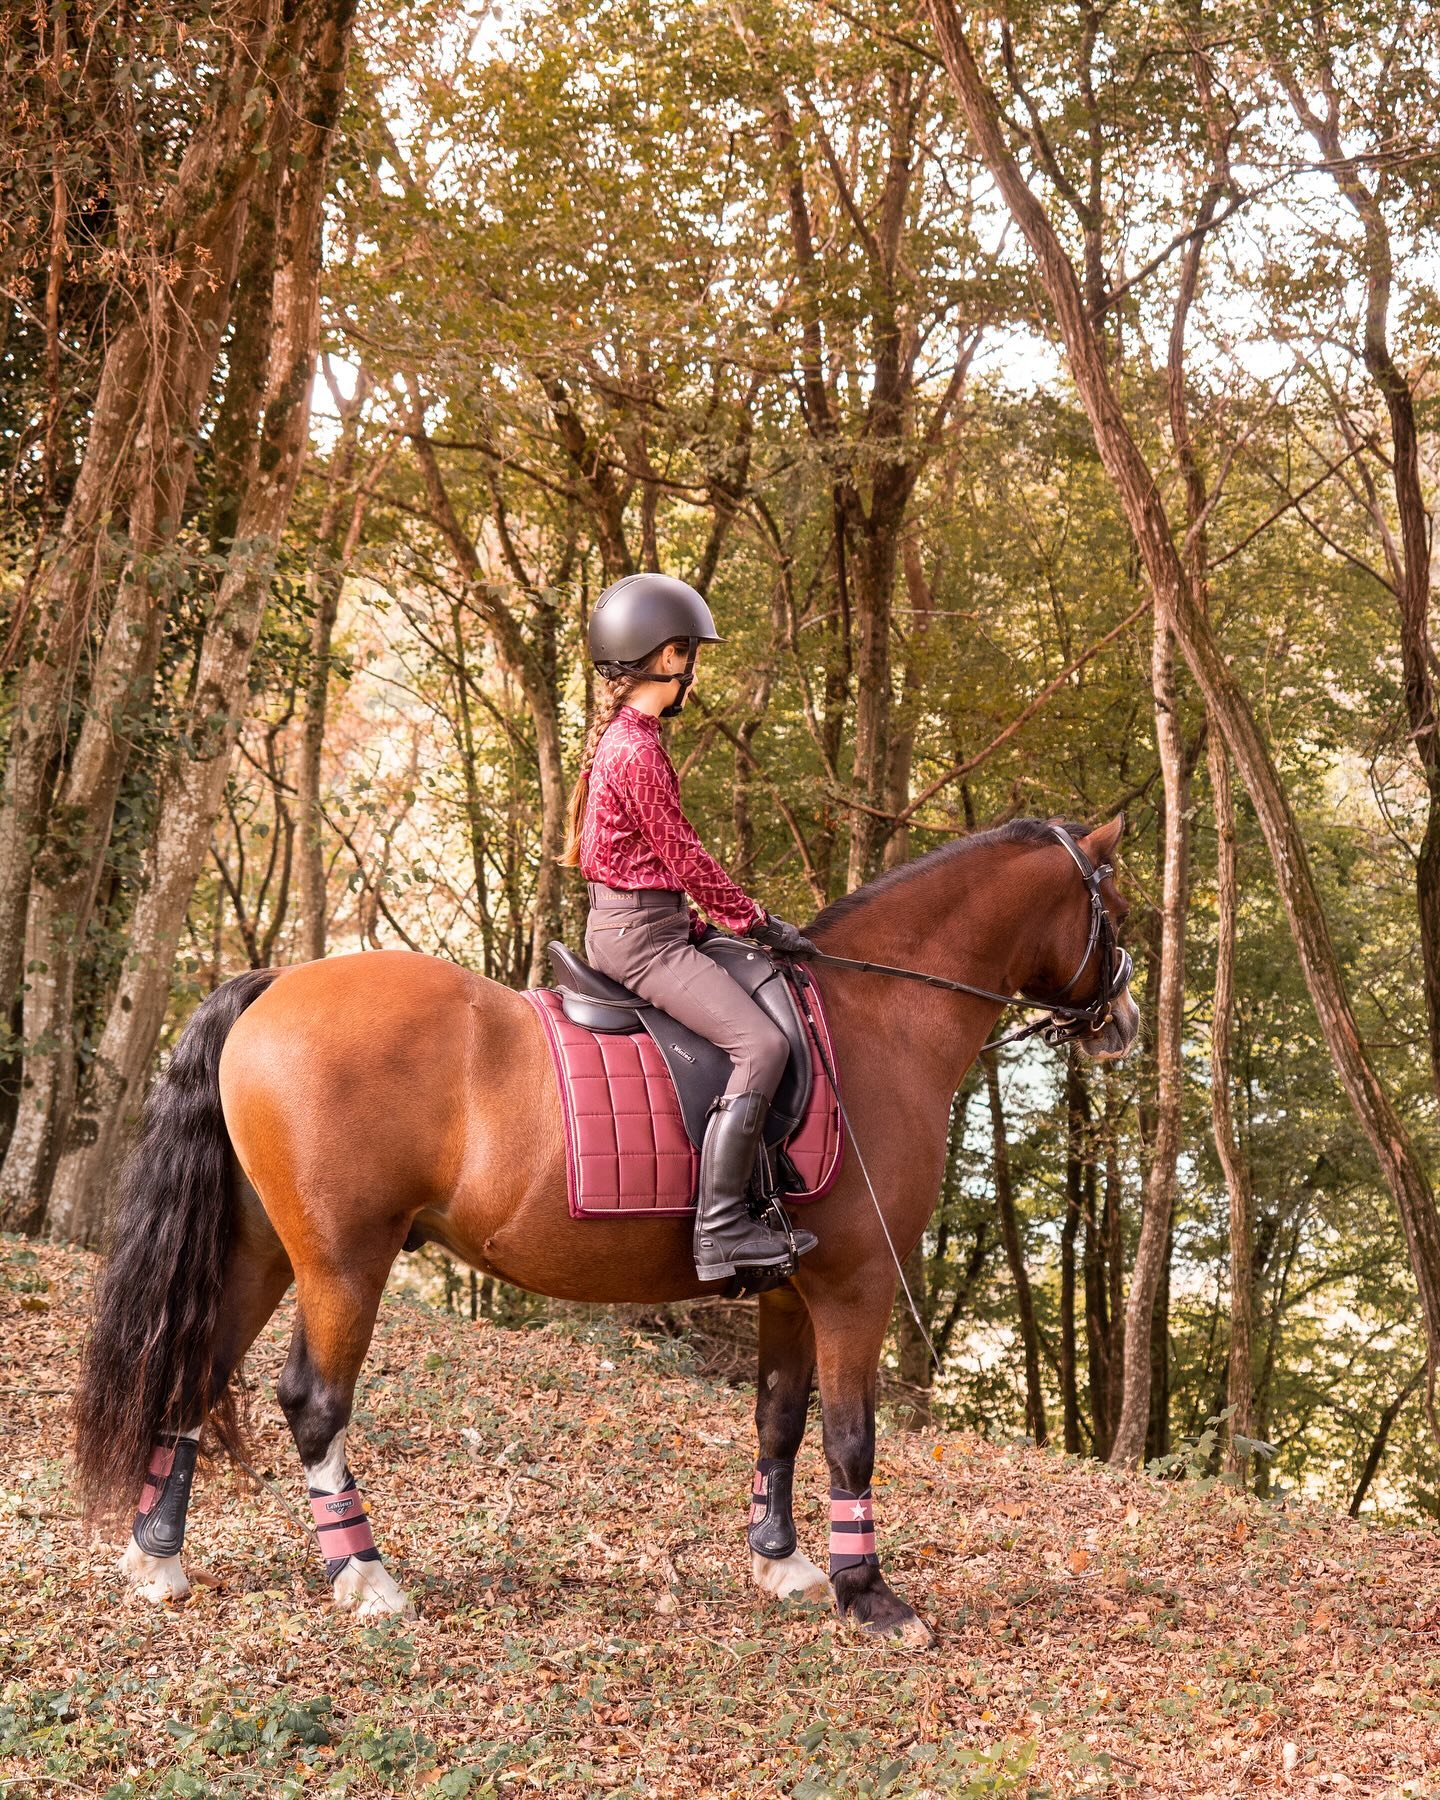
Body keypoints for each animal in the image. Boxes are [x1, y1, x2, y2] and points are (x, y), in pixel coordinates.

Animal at [76, 817, 1137, 1648]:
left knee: (196, 1371)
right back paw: (365, 1577)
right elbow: (850, 1437)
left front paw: (782, 1564)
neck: (876, 1017)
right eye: (1115, 910)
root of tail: (275, 984)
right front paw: (868, 1596)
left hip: (261, 1250)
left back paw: (156, 1561)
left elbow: (780, 1420)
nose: (1123, 1019)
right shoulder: (856, 1285)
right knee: (313, 1402)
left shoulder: (793, 1289)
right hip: (343, 1258)